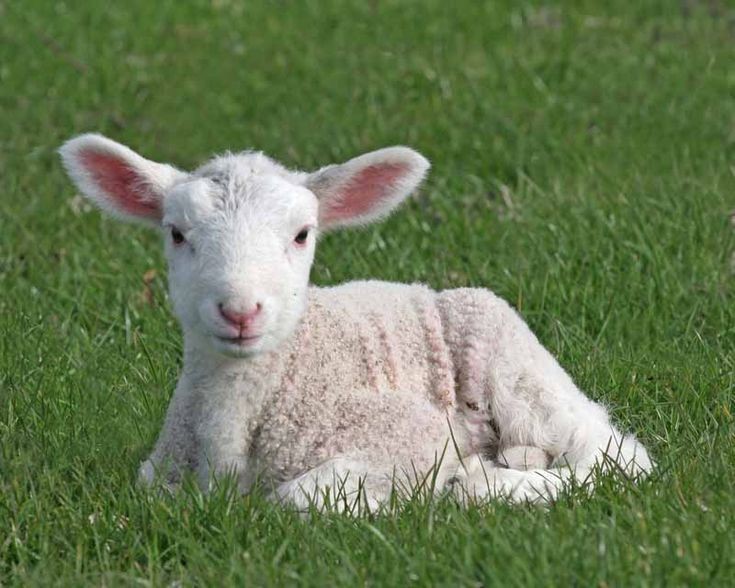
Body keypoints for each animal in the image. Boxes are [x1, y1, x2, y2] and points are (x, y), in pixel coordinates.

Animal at [60, 133, 652, 510]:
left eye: (302, 234)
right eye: (177, 233)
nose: (240, 311)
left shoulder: (408, 435)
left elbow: (296, 497)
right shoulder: (158, 475)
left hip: (511, 361)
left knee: (617, 457)